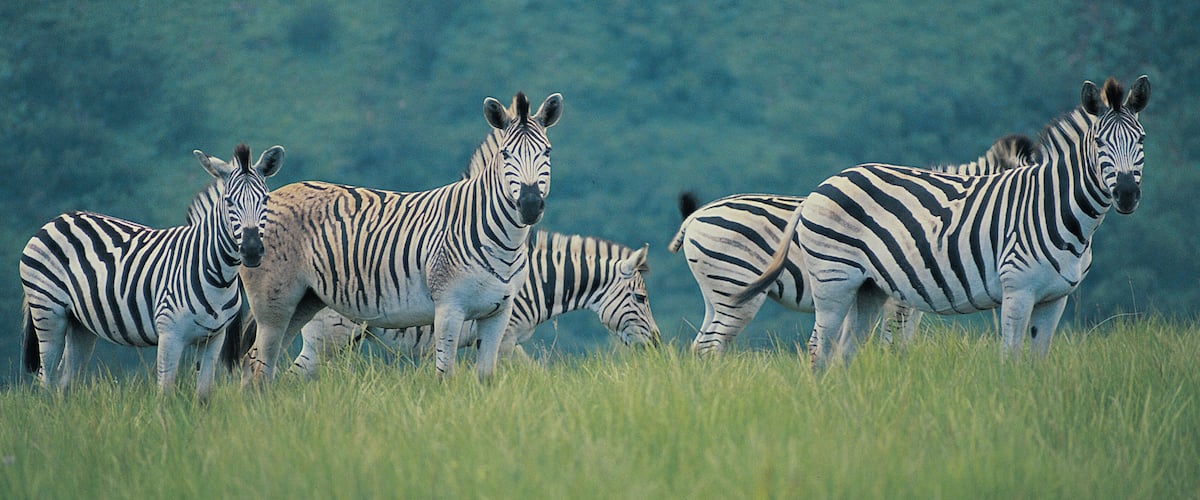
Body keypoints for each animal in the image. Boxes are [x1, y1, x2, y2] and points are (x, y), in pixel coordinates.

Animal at [20, 143, 285, 401]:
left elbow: (203, 395)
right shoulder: (170, 334)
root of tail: (57, 219)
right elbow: (165, 393)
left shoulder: (213, 338)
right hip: (48, 312)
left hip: (80, 324)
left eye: (265, 200)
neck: (217, 275)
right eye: (229, 201)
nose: (252, 250)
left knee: (66, 380)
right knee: (47, 378)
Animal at [237, 92, 562, 384]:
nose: (530, 205)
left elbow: (486, 377)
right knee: (257, 362)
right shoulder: (449, 308)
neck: (500, 239)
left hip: (303, 301)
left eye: (547, 152)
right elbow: (445, 376)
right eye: (505, 155)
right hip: (275, 303)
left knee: (264, 364)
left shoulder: (498, 313)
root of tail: (272, 196)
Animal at [274, 230, 660, 378]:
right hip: (330, 338)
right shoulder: (506, 337)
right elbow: (526, 373)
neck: (533, 282)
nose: (657, 345)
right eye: (640, 298)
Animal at [669, 134, 1040, 355]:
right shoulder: (899, 297)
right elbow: (893, 345)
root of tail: (696, 216)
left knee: (701, 344)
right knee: (711, 345)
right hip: (736, 287)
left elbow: (903, 344)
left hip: (717, 292)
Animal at [736, 75, 1150, 367]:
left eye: (1142, 140)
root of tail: (822, 186)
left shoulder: (1055, 298)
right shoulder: (1017, 290)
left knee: (845, 350)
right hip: (833, 279)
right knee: (818, 347)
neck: (1057, 208)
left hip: (868, 287)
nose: (1127, 193)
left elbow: (1037, 362)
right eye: (1099, 143)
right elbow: (1011, 358)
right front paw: (1011, 408)